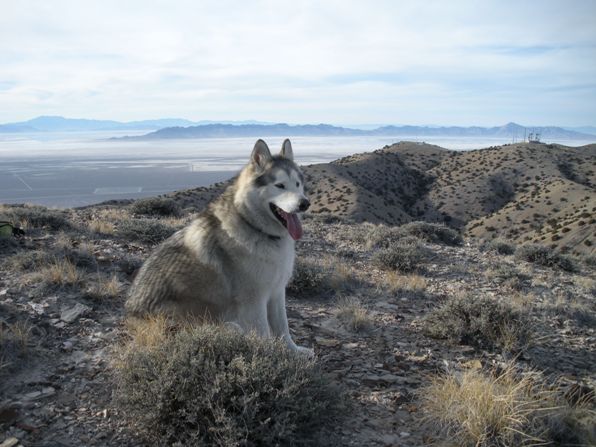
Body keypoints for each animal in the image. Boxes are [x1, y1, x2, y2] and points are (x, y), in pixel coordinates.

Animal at [125, 138, 312, 356]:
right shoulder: (253, 300)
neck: (254, 226)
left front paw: (295, 352)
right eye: (280, 185)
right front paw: (271, 355)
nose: (304, 203)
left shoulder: (276, 292)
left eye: (297, 184)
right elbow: (265, 333)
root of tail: (129, 312)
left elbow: (283, 328)